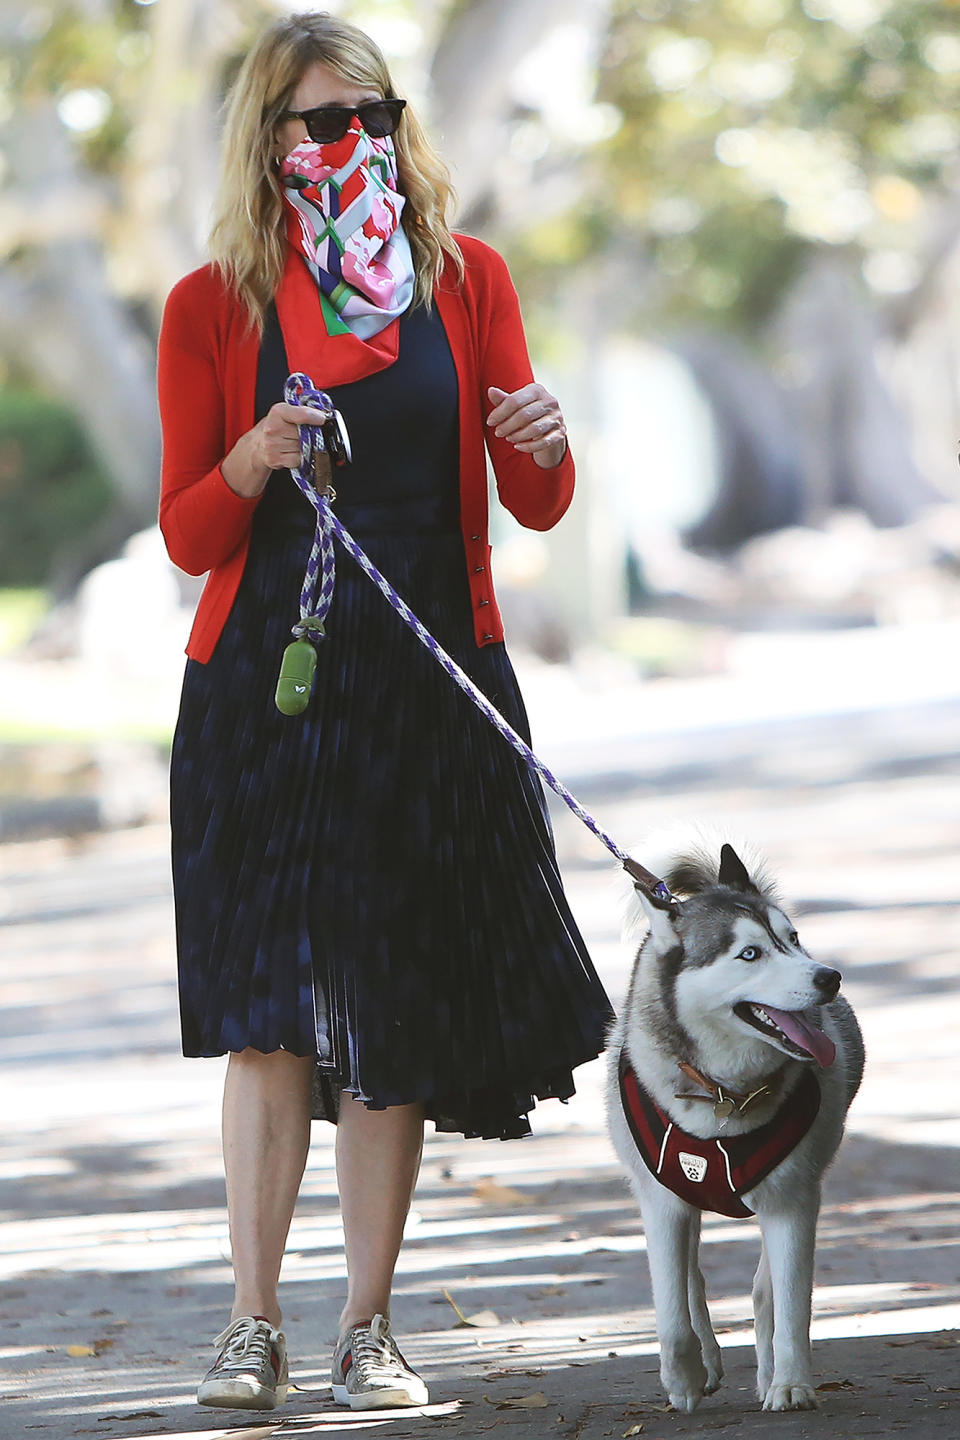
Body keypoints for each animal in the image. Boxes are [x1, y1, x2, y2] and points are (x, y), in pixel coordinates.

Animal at [613, 840, 869, 1411]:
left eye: (792, 939)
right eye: (750, 954)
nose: (829, 977)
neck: (723, 1093)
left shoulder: (793, 1200)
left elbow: (790, 1306)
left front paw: (790, 1383)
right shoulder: (661, 1201)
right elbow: (670, 1310)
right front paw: (681, 1378)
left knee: (764, 1290)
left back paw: (768, 1368)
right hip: (674, 1190)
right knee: (690, 1276)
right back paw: (704, 1362)